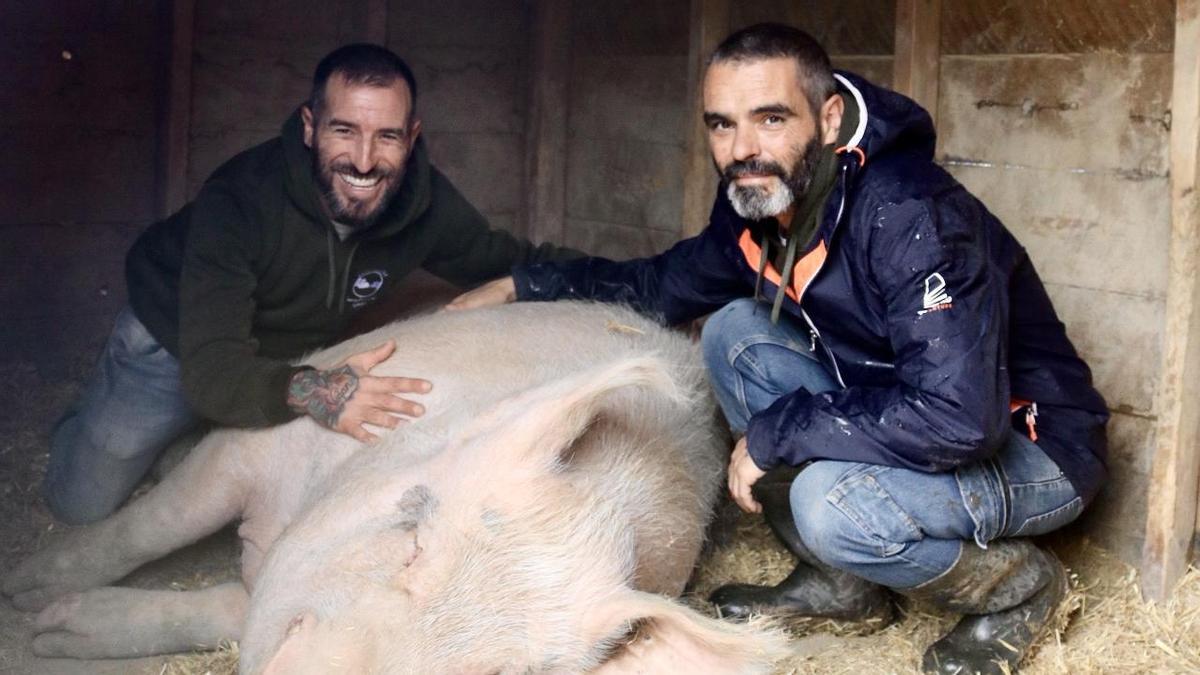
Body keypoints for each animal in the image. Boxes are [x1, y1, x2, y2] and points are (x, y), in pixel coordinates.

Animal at [7, 300, 787, 672]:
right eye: (411, 541)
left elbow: (233, 606)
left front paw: (56, 630)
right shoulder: (261, 438)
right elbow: (155, 523)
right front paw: (30, 595)